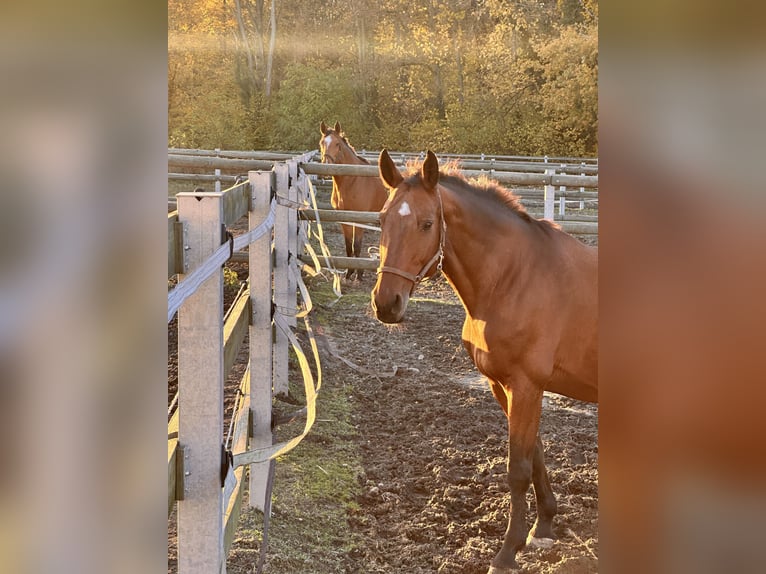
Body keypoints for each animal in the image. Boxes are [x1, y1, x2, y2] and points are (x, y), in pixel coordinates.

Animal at [319, 121, 388, 280]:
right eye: (322, 143)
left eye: (337, 144)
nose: (326, 167)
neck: (354, 180)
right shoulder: (344, 219)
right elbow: (348, 244)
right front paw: (349, 272)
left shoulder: (360, 219)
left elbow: (356, 245)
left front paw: (359, 274)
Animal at [371, 150, 598, 573]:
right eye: (381, 219)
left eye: (427, 224)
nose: (386, 304)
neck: (514, 277)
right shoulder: (504, 386)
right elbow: (535, 453)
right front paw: (542, 527)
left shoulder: (526, 385)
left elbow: (517, 469)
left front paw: (506, 552)